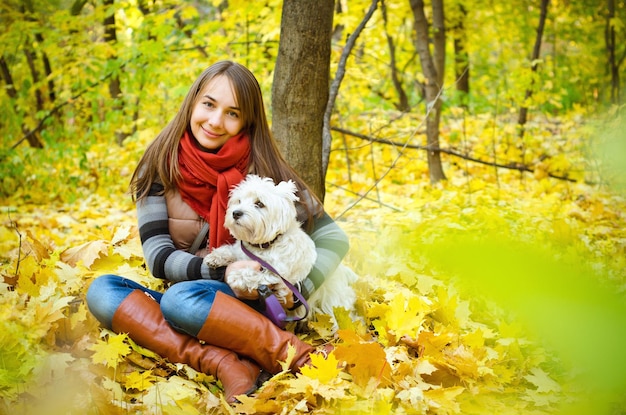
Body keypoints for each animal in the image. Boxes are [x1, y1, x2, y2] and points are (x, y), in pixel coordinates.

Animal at [202, 175, 354, 332]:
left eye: (259, 203)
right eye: (239, 201)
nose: (236, 213)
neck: (264, 245)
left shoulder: (277, 274)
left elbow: (255, 274)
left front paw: (236, 276)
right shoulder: (242, 252)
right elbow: (231, 250)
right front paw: (215, 257)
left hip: (333, 302)